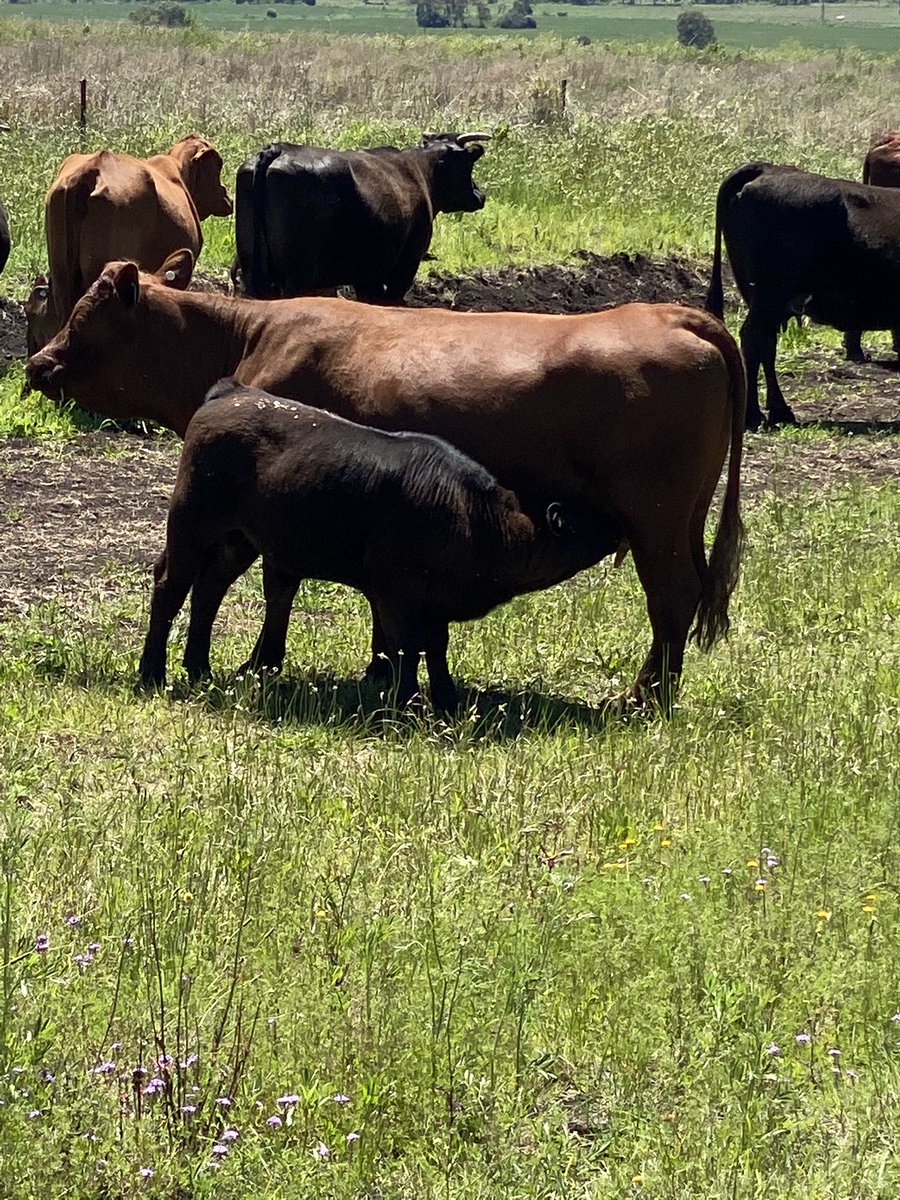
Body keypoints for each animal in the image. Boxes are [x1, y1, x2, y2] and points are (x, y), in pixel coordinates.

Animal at [140, 379, 619, 710]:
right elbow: (406, 647)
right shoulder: (395, 594)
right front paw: (407, 701)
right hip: (191, 524)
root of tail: (231, 393)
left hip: (237, 541)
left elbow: (436, 647)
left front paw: (446, 700)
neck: (473, 516)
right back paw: (152, 674)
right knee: (170, 587)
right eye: (586, 518)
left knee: (208, 590)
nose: (619, 523)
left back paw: (199, 668)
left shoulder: (433, 602)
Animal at [233, 132, 490, 303]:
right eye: (468, 164)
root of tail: (277, 149)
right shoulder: (406, 265)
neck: (422, 171)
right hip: (297, 275)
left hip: (254, 272)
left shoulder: (367, 275)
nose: (480, 195)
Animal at [706, 160, 900, 430]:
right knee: (754, 340)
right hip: (770, 294)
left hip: (771, 302)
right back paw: (754, 415)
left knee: (766, 344)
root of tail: (768, 168)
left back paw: (779, 411)